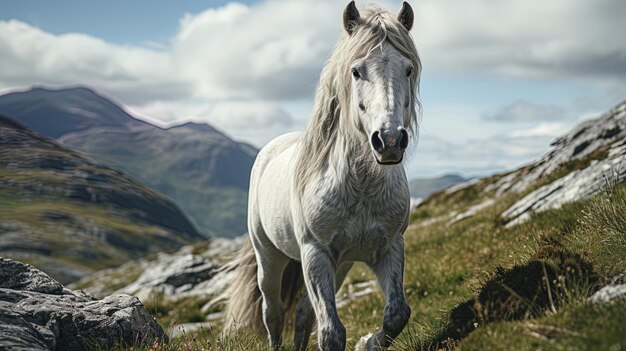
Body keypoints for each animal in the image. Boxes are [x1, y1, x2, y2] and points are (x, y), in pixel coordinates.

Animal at [219, 1, 420, 350]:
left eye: (407, 69)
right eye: (356, 71)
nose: (390, 140)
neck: (360, 188)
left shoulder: (389, 247)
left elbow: (397, 314)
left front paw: (367, 342)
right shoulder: (316, 253)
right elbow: (330, 333)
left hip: (341, 265)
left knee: (301, 312)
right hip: (269, 257)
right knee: (273, 312)